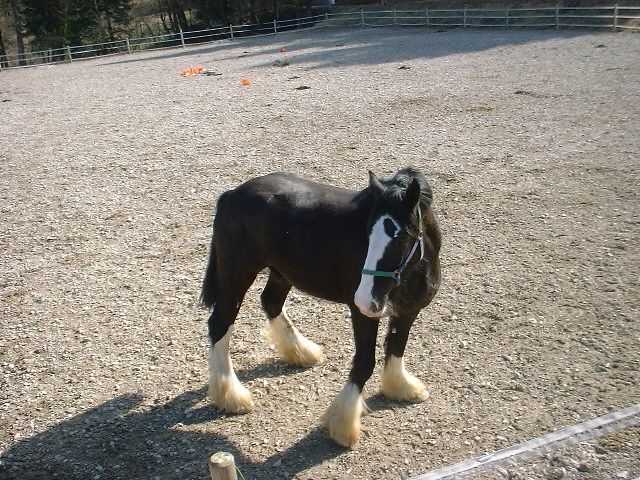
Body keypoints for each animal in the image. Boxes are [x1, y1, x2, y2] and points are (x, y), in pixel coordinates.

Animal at [200, 167, 440, 448]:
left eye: (401, 238)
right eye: (368, 233)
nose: (365, 298)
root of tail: (232, 194)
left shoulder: (408, 311)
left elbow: (396, 347)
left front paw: (401, 388)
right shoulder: (363, 315)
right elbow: (364, 362)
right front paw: (344, 426)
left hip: (281, 273)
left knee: (270, 302)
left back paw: (302, 352)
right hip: (237, 275)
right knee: (220, 323)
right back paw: (231, 396)